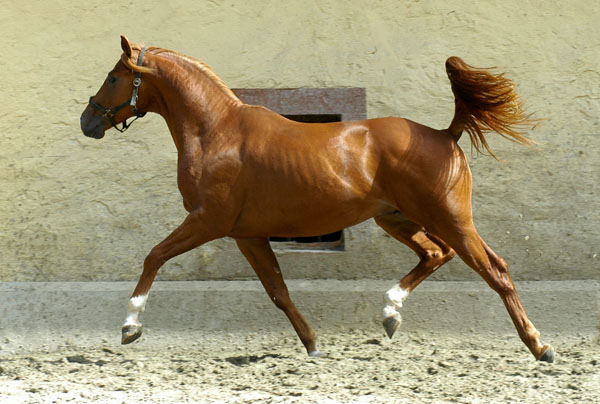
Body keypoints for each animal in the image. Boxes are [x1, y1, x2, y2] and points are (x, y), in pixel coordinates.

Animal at [79, 35, 552, 362]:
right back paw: (390, 313)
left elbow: (154, 256)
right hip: (397, 219)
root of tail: (444, 133)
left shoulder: (207, 221)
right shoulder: (247, 234)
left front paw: (129, 326)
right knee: (437, 255)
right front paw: (312, 346)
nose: (87, 121)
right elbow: (277, 291)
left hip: (450, 219)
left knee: (495, 270)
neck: (216, 132)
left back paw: (540, 347)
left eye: (113, 77)